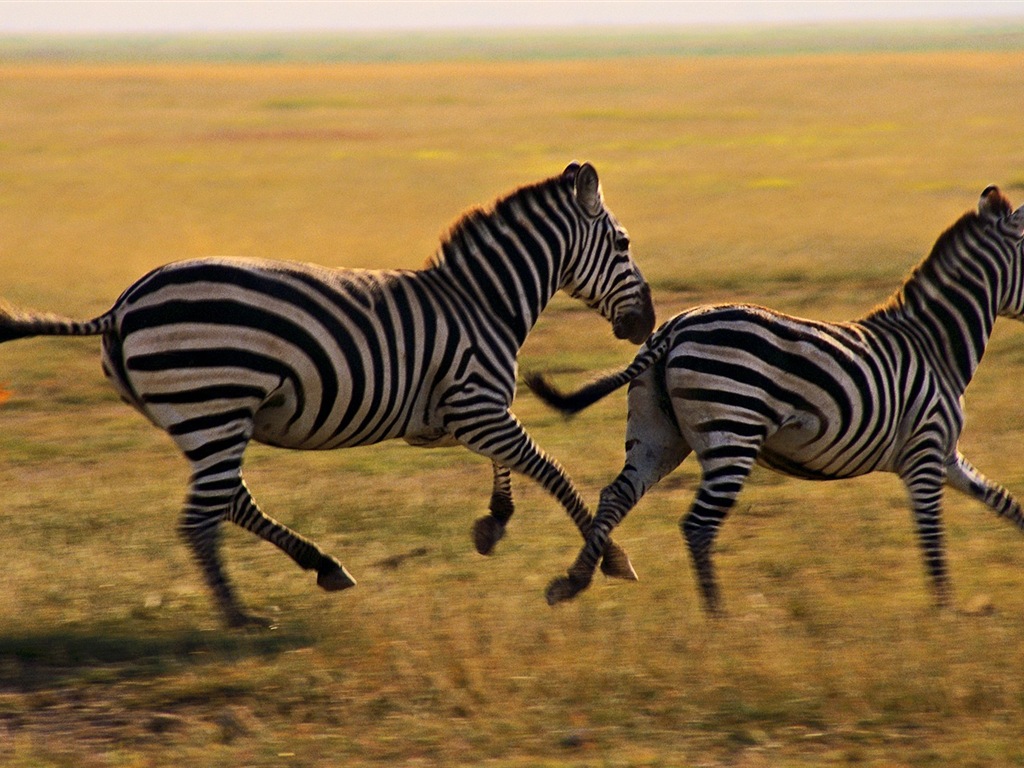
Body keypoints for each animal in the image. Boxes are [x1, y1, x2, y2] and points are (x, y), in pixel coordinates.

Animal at [0, 160, 655, 626]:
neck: (482, 302)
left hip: (203, 420)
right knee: (203, 519)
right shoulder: (477, 405)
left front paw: (495, 522)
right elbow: (551, 470)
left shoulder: (463, 415)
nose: (645, 323)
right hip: (215, 408)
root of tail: (122, 306)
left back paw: (321, 567)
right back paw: (240, 618)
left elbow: (510, 465)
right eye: (624, 245)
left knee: (231, 503)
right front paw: (605, 561)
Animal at [528, 185, 1024, 614]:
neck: (934, 346)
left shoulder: (945, 456)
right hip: (732, 434)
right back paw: (720, 622)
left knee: (616, 495)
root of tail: (672, 329)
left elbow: (1007, 503)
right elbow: (932, 538)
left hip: (657, 436)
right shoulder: (924, 452)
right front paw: (944, 615)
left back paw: (574, 581)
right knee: (698, 527)